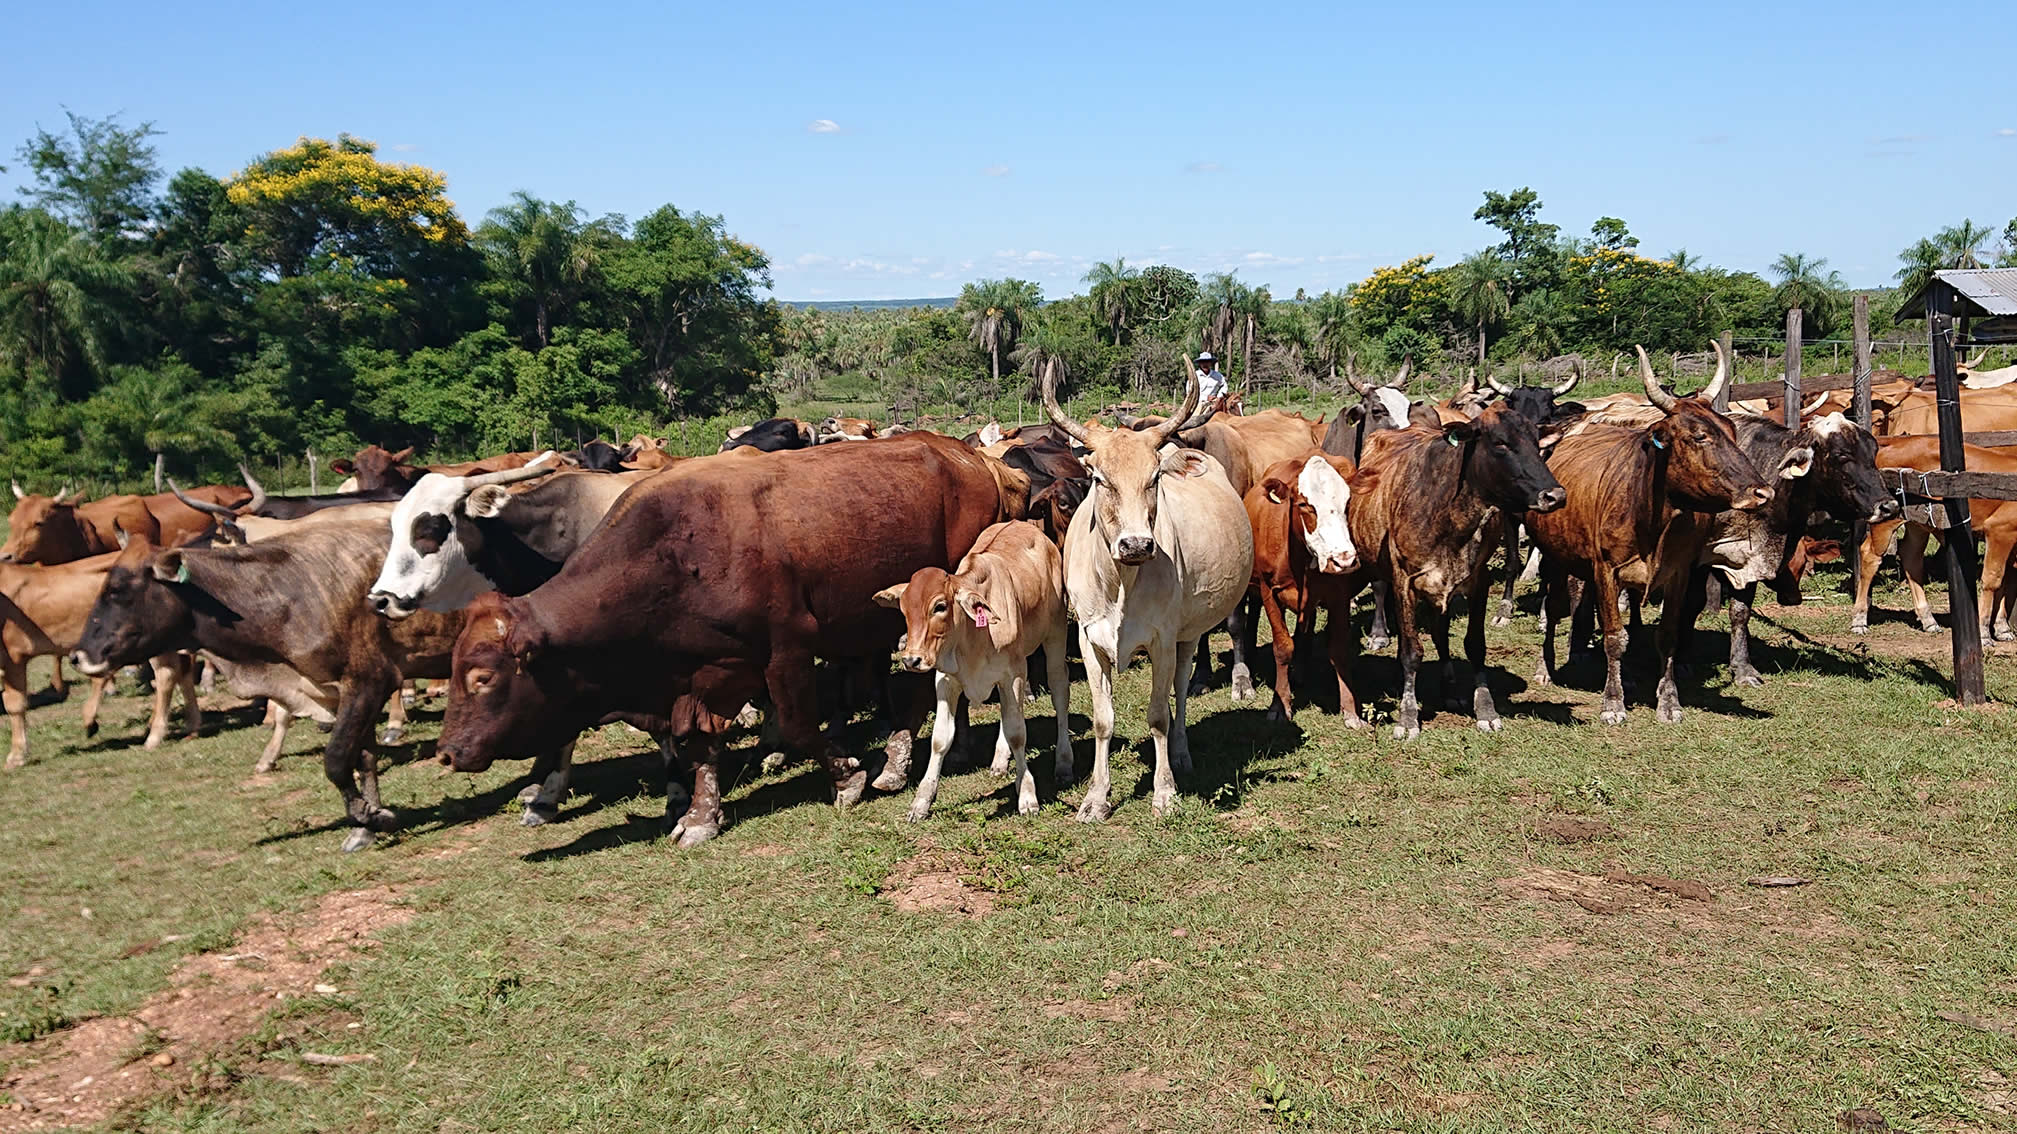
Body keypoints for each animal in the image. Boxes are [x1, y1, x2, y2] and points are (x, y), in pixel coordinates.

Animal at [431, 427, 1016, 843]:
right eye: (454, 670)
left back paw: (899, 761)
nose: (448, 752)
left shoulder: (787, 651)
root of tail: (967, 457)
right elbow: (701, 743)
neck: (675, 552)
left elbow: (800, 727)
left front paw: (845, 777)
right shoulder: (708, 670)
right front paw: (700, 815)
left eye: (482, 677)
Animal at [875, 516, 1081, 815]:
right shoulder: (946, 680)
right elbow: (941, 738)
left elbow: (1018, 732)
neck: (972, 636)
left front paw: (1027, 795)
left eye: (939, 606)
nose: (911, 659)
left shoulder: (1013, 674)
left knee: (1059, 691)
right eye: (904, 610)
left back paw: (1064, 762)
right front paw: (922, 801)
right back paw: (1000, 760)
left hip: (1055, 634)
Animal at [1048, 367, 1250, 815]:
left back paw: (1181, 753)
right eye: (1099, 479)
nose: (1136, 544)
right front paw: (1096, 798)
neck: (1120, 582)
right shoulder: (1089, 640)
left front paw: (1164, 792)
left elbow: (1159, 715)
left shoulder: (1162, 639)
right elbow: (1103, 720)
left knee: (1181, 688)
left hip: (1187, 634)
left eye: (1154, 477)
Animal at [1524, 343, 1766, 722]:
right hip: (1553, 559)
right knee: (1552, 607)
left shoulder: (1679, 573)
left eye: (1731, 430)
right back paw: (1545, 667)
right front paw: (1612, 702)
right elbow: (1613, 636)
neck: (1652, 517)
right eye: (1698, 435)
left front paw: (1668, 701)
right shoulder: (1606, 571)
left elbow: (1667, 635)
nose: (1761, 492)